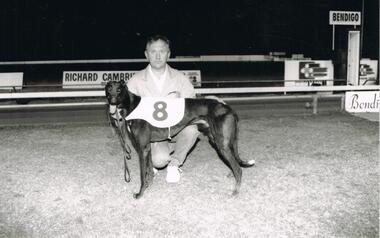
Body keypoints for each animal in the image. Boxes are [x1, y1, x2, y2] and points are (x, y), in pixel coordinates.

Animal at [105, 81, 255, 198]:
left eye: (119, 89)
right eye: (108, 89)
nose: (112, 101)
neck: (132, 105)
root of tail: (227, 107)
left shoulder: (142, 149)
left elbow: (143, 174)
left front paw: (140, 193)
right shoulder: (148, 147)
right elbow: (149, 172)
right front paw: (149, 186)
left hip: (221, 143)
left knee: (238, 169)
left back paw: (235, 191)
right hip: (221, 140)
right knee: (235, 162)